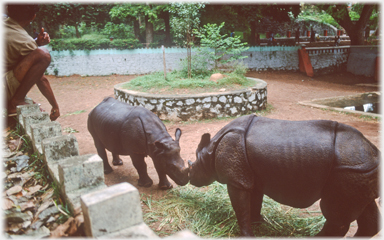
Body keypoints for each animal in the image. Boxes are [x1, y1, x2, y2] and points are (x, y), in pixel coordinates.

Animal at [188, 115, 380, 238]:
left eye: (194, 166)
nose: (189, 178)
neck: (210, 150)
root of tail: (374, 153)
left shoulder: (236, 180)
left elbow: (241, 207)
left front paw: (247, 234)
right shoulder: (250, 175)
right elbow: (254, 202)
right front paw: (258, 224)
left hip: (348, 170)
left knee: (334, 213)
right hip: (360, 171)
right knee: (364, 207)